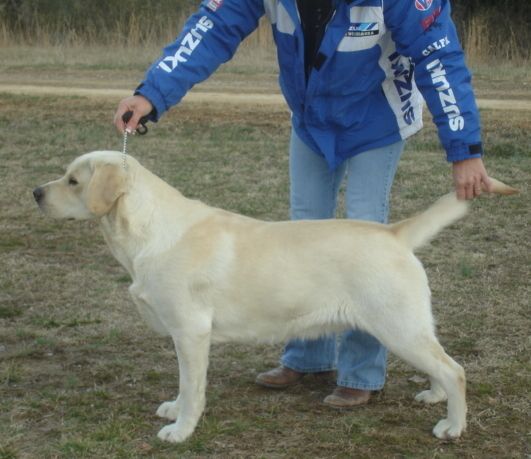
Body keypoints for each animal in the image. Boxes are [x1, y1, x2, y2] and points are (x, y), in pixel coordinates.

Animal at [33, 151, 517, 443]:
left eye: (73, 180)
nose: (36, 192)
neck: (148, 234)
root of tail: (394, 233)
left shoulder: (191, 331)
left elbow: (193, 387)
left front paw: (181, 429)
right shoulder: (182, 335)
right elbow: (182, 385)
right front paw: (173, 409)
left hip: (398, 327)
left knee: (456, 371)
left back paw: (452, 425)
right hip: (407, 326)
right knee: (441, 366)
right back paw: (434, 397)